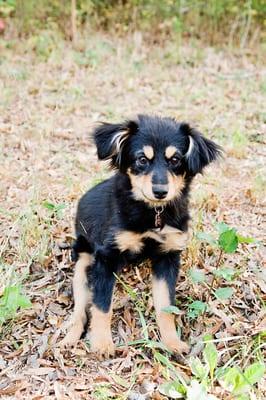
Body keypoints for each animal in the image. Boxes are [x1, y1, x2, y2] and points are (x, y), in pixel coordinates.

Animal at [61, 115, 221, 356]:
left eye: (175, 160)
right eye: (142, 159)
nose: (160, 191)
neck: (153, 213)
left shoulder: (168, 256)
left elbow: (165, 306)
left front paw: (172, 342)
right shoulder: (107, 257)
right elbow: (102, 305)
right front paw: (102, 343)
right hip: (83, 262)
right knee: (79, 310)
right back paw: (69, 338)